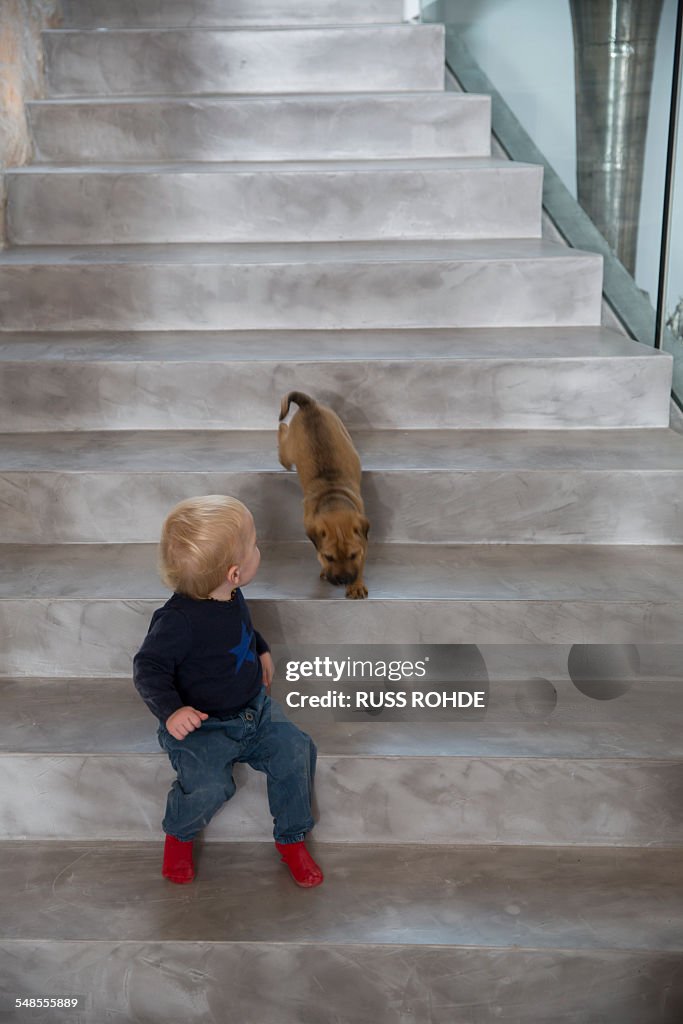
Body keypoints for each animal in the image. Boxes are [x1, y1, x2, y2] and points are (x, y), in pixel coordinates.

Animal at [278, 391, 368, 598]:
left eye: (352, 555)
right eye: (329, 557)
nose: (343, 580)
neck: (332, 497)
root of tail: (308, 405)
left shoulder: (362, 540)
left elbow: (361, 561)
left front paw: (356, 585)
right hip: (289, 452)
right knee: (282, 434)